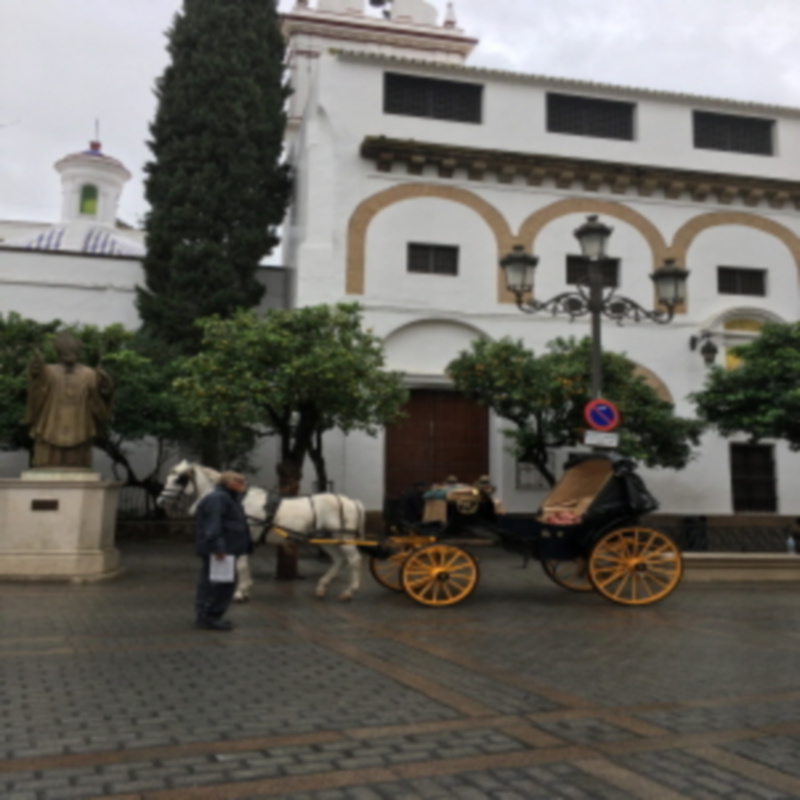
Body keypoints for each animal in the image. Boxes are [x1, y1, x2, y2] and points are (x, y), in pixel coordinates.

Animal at [155, 462, 366, 600]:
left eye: (179, 480)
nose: (160, 501)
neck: (237, 500)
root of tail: (352, 501)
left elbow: (240, 564)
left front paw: (240, 592)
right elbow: (243, 563)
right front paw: (246, 588)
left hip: (343, 537)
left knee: (354, 560)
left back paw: (350, 591)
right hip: (327, 539)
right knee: (339, 560)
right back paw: (322, 587)